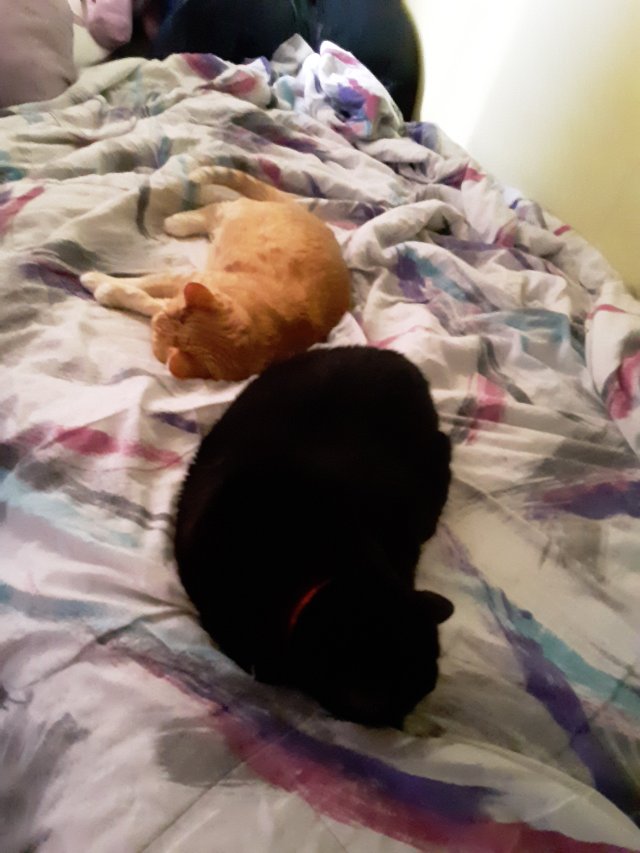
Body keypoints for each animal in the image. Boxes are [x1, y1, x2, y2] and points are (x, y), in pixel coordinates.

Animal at [81, 167, 351, 380]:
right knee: (216, 208)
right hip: (234, 214)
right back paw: (178, 221)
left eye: (158, 330)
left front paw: (106, 288)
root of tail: (300, 210)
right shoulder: (183, 279)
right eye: (176, 313)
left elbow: (144, 296)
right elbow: (146, 283)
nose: (161, 317)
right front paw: (101, 280)